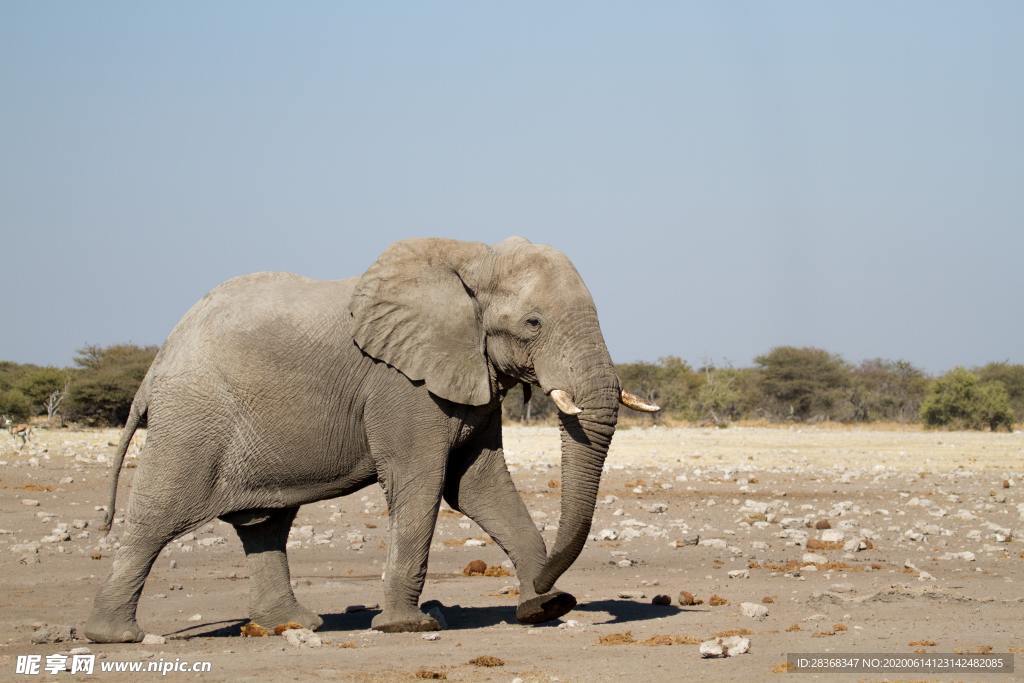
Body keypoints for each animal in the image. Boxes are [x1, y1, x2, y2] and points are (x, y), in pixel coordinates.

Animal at [83, 236, 658, 643]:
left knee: (265, 525)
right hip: (193, 419)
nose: (550, 587)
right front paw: (408, 626)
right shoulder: (402, 386)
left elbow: (479, 485)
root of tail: (158, 361)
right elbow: (422, 483)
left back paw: (293, 625)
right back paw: (114, 636)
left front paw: (545, 607)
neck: (471, 260)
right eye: (533, 323)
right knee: (158, 515)